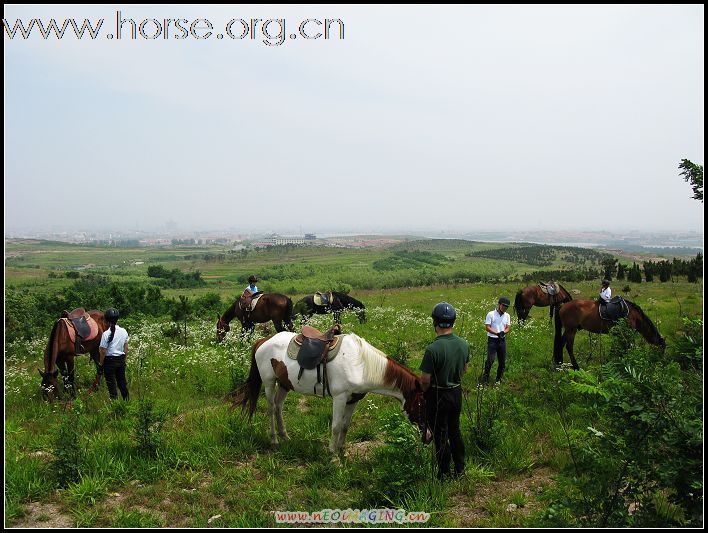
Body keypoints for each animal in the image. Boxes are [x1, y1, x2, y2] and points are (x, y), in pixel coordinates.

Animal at [228, 332, 432, 454]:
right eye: (422, 405)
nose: (429, 437)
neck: (361, 365)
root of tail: (263, 341)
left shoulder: (353, 400)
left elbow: (345, 426)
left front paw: (342, 451)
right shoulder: (340, 398)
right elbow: (335, 426)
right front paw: (333, 456)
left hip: (284, 384)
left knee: (278, 407)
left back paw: (285, 436)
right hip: (270, 383)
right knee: (270, 409)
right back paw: (275, 440)